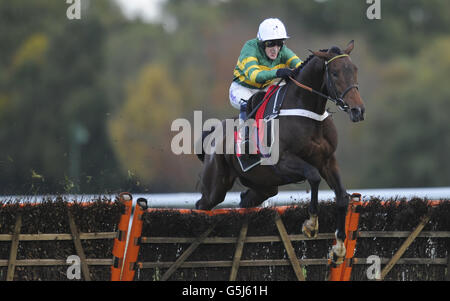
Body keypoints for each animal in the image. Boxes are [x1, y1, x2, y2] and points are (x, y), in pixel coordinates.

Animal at [195, 40, 364, 262]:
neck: (307, 111)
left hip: (263, 186)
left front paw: (340, 247)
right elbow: (313, 176)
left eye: (354, 69)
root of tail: (213, 134)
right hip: (215, 186)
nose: (357, 111)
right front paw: (311, 225)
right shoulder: (282, 161)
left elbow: (343, 197)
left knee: (244, 201)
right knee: (201, 206)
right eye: (334, 73)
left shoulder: (328, 160)